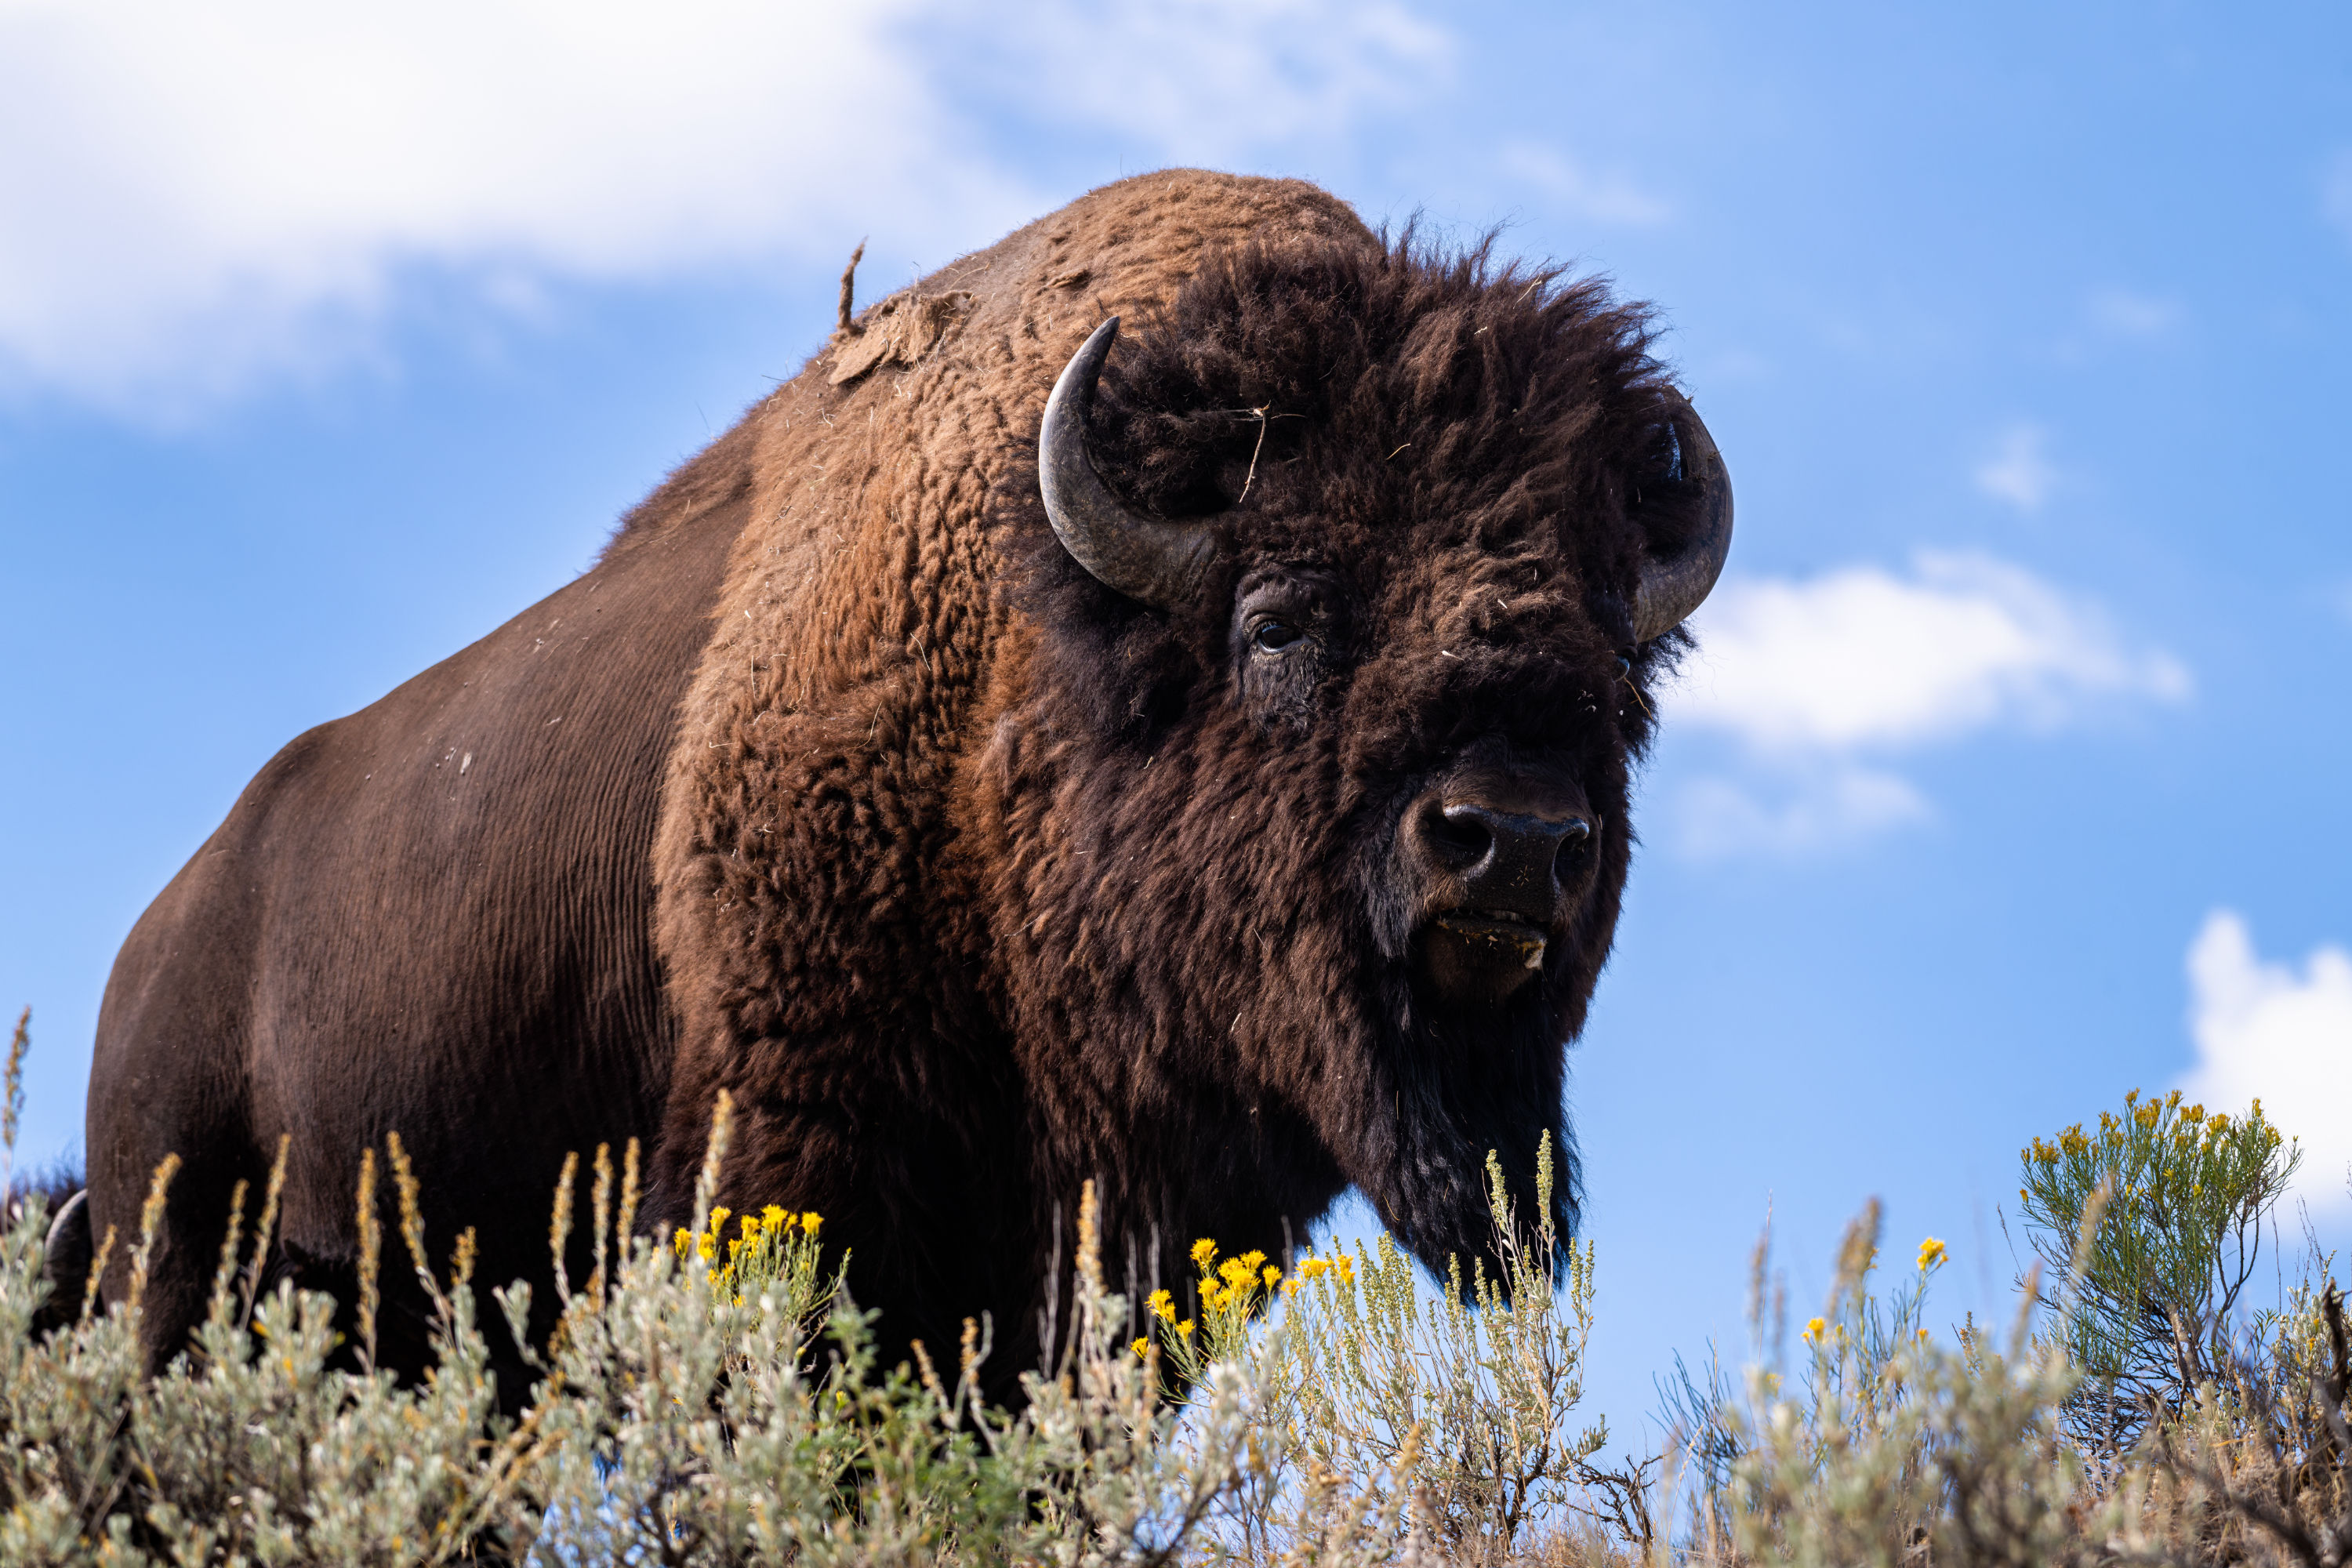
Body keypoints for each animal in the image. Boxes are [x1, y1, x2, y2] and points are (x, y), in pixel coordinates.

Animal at [77, 170, 1730, 1391]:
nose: (1509, 841)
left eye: (1616, 682)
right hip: (172, 1271)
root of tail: (150, 941)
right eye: (1277, 621)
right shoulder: (794, 1167)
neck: (1024, 677)